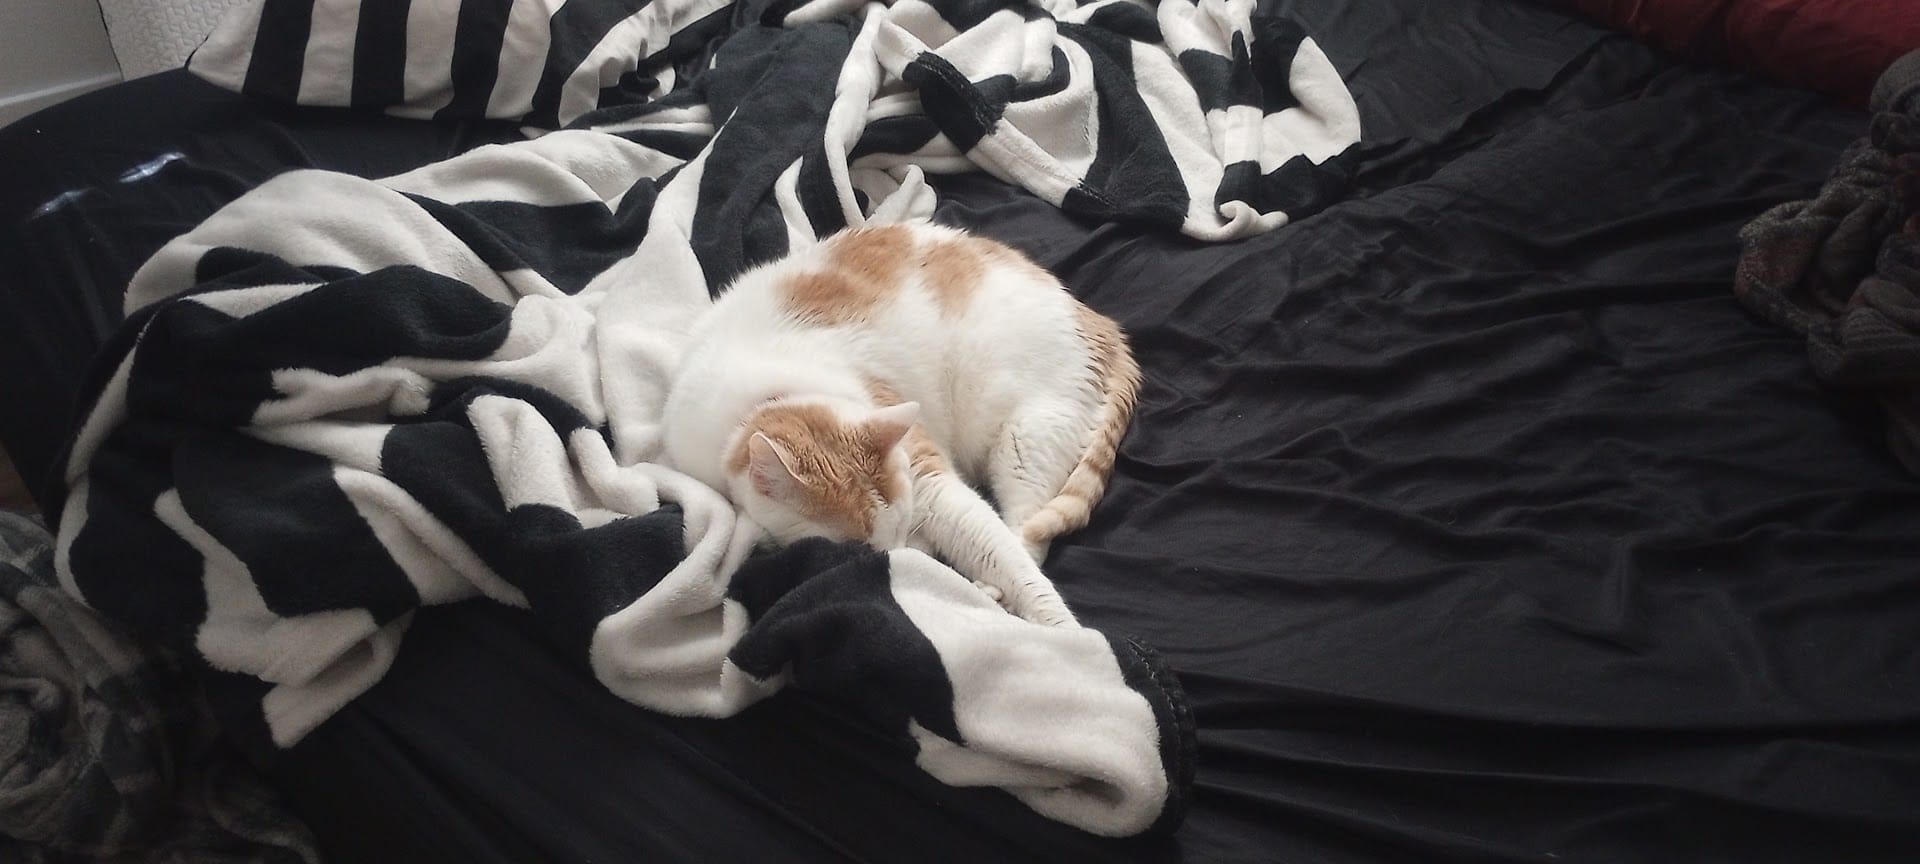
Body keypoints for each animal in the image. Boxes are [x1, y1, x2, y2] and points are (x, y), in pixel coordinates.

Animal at [661, 222, 1140, 627]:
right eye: (859, 548)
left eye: (895, 529)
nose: (896, 562)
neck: (774, 391)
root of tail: (1105, 326)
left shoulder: (924, 470)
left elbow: (997, 549)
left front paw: (1068, 639)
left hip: (1024, 440)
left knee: (1027, 535)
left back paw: (988, 594)